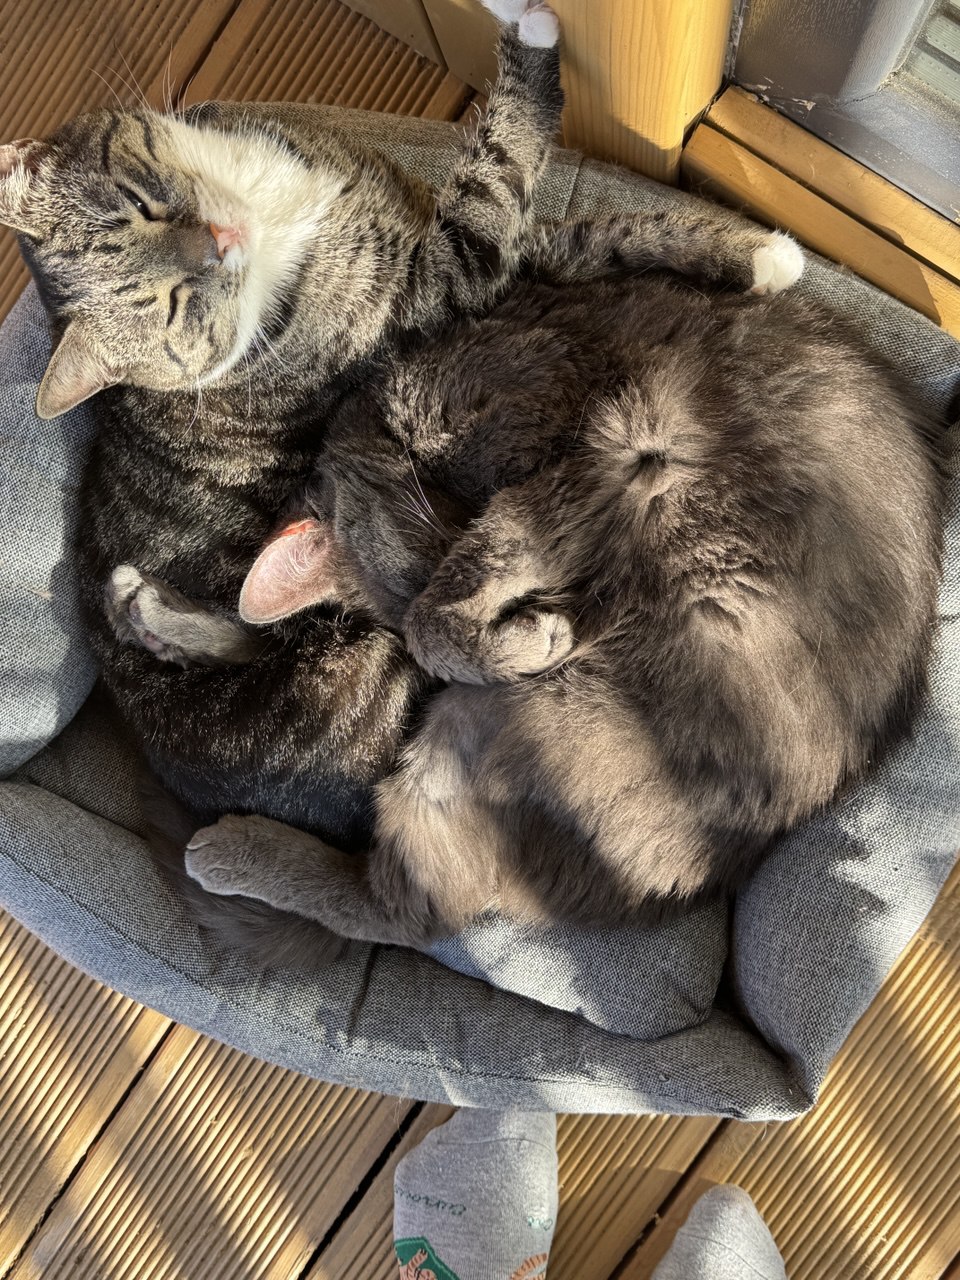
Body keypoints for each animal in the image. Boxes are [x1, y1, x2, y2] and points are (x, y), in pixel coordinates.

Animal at [150, 263, 945, 947]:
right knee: (412, 907)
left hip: (512, 724)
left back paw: (222, 841)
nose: (558, 607)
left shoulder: (585, 455)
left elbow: (446, 603)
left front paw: (515, 632)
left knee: (416, 911)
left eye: (440, 565)